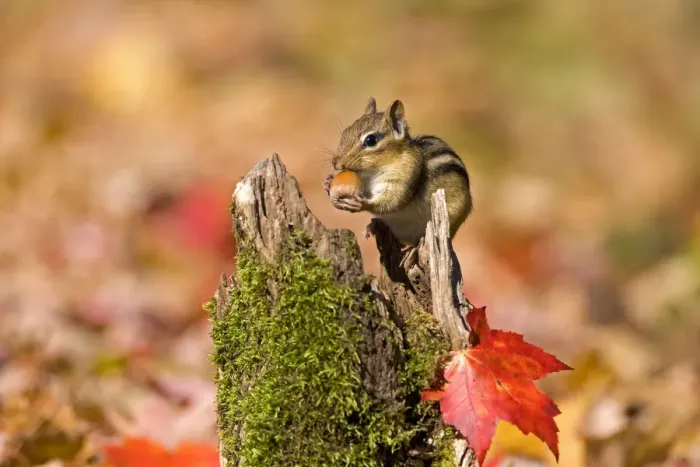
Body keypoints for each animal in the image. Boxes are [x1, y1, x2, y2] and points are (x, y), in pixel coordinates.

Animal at [324, 97, 473, 250]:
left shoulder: (406, 177)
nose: (336, 163)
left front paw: (362, 204)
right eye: (345, 133)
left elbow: (393, 201)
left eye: (370, 140)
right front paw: (328, 183)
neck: (373, 172)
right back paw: (372, 226)